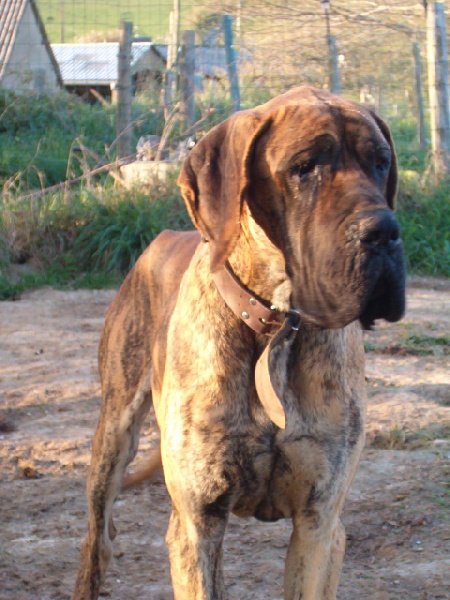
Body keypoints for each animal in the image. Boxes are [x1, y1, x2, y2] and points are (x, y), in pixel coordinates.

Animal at [73, 85, 404, 600]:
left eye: (381, 163)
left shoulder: (320, 525)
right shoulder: (196, 524)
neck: (276, 328)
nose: (384, 232)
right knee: (96, 539)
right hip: (113, 433)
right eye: (305, 166)